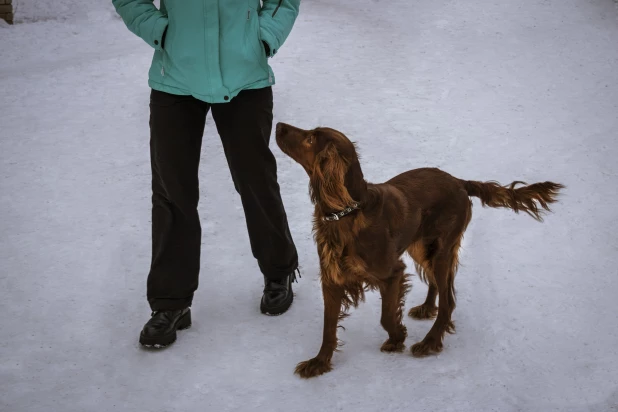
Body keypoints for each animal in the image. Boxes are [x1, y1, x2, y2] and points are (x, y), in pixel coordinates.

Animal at [274, 120, 564, 378]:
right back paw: (426, 308)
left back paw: (430, 342)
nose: (278, 125)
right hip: (422, 247)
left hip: (442, 249)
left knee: (449, 301)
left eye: (311, 138)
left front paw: (397, 338)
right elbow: (328, 327)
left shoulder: (392, 273)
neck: (347, 212)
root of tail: (459, 182)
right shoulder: (332, 279)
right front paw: (319, 362)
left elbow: (386, 316)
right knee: (436, 283)